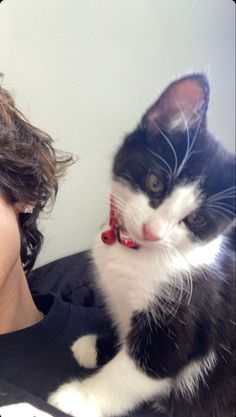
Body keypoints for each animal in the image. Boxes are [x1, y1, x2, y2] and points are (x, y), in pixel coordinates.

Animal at [48, 74, 235, 416]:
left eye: (198, 218)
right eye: (155, 183)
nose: (152, 231)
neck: (132, 251)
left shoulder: (183, 317)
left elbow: (138, 370)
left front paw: (82, 398)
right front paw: (97, 346)